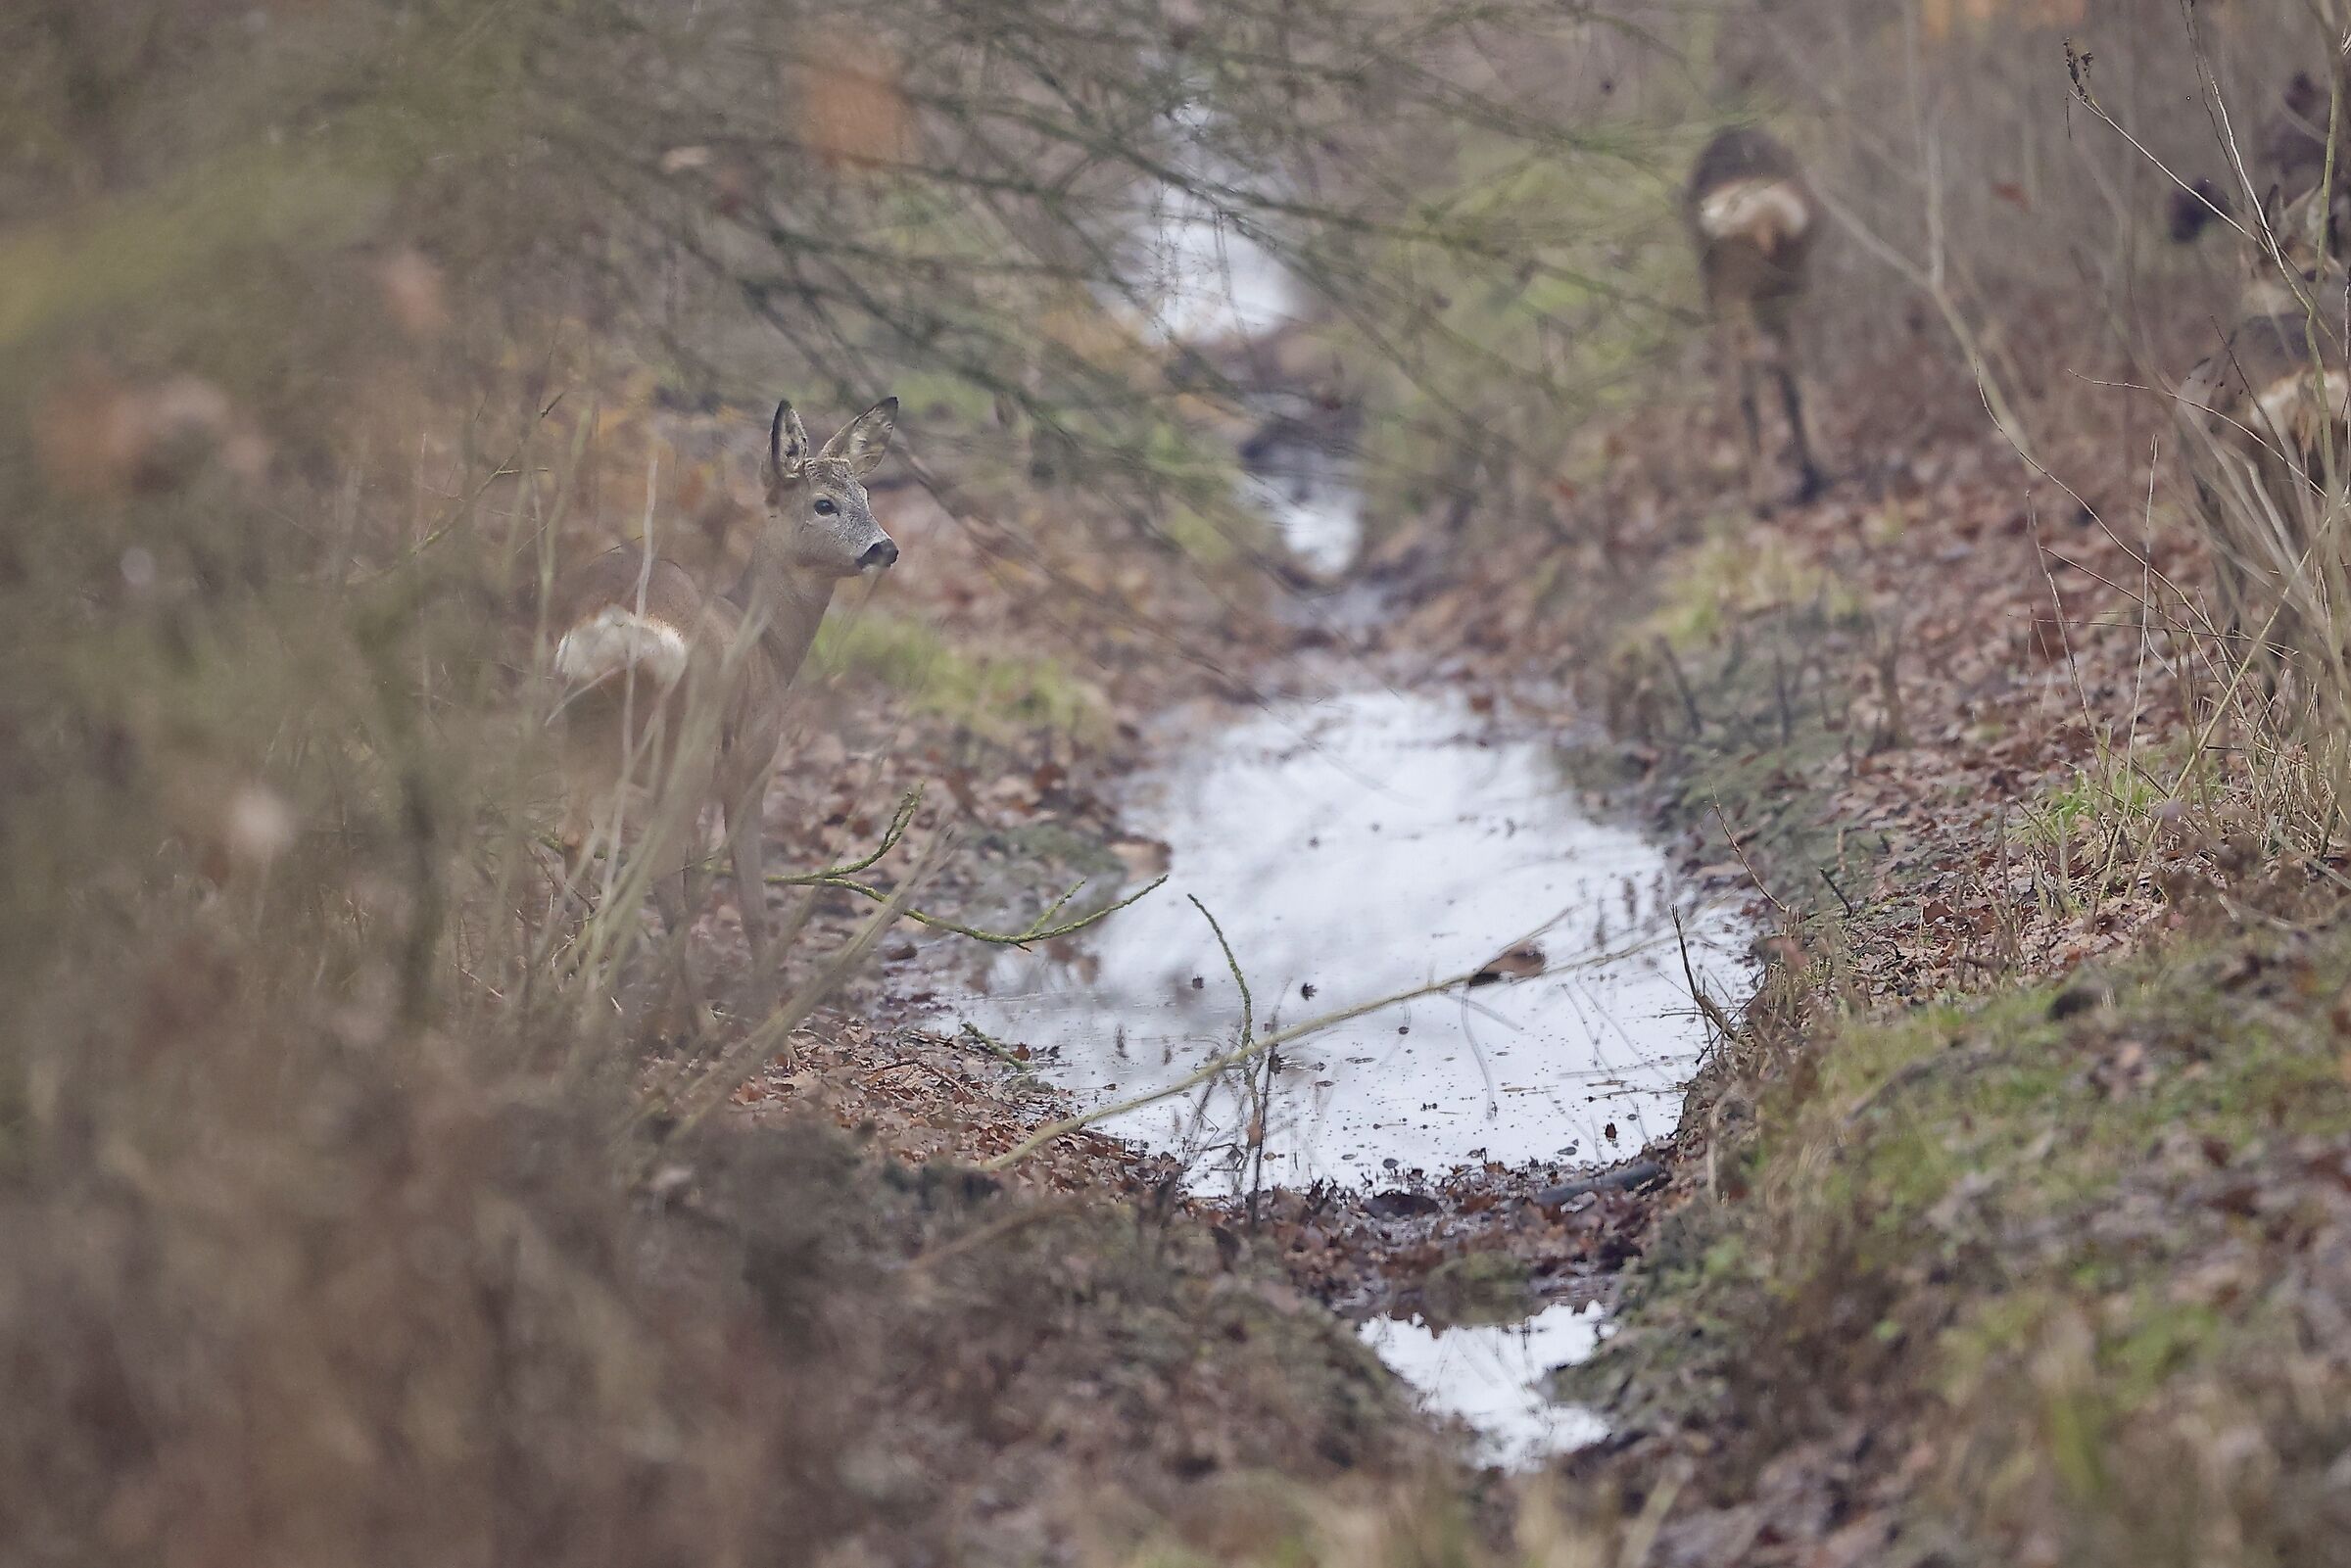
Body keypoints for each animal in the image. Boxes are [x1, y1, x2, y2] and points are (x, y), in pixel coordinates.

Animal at [548, 396, 900, 1024]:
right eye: (825, 503)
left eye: (867, 495)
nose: (885, 547)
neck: (769, 646)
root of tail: (619, 623)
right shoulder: (751, 762)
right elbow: (750, 899)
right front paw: (772, 1018)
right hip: (685, 743)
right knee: (658, 862)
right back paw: (697, 1022)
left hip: (583, 720)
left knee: (576, 836)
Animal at [1687, 125, 1827, 511]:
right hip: (1792, 284)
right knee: (1797, 369)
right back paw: (1816, 472)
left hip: (1734, 292)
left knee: (1747, 381)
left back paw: (1764, 498)